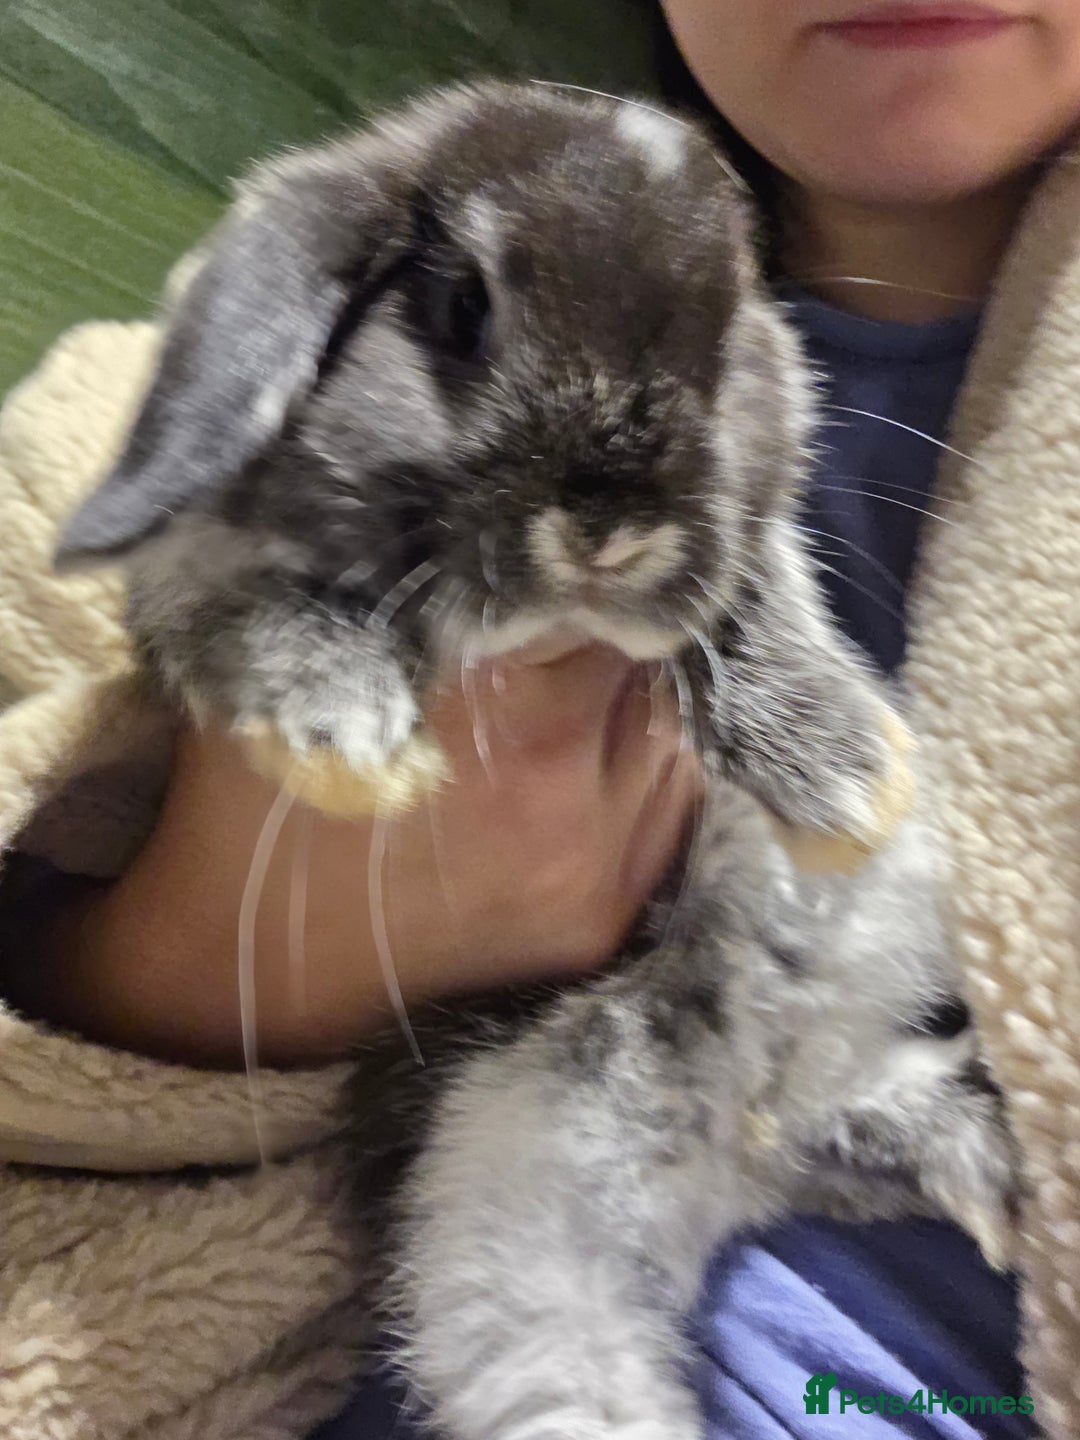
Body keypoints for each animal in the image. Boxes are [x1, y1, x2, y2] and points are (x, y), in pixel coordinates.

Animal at [56, 82, 1018, 1440]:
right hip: (516, 1272)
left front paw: (846, 780)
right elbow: (250, 614)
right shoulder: (191, 576)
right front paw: (352, 742)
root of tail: (732, 1113)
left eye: (729, 334)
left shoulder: (744, 556)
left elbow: (751, 597)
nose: (613, 522)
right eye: (462, 302)